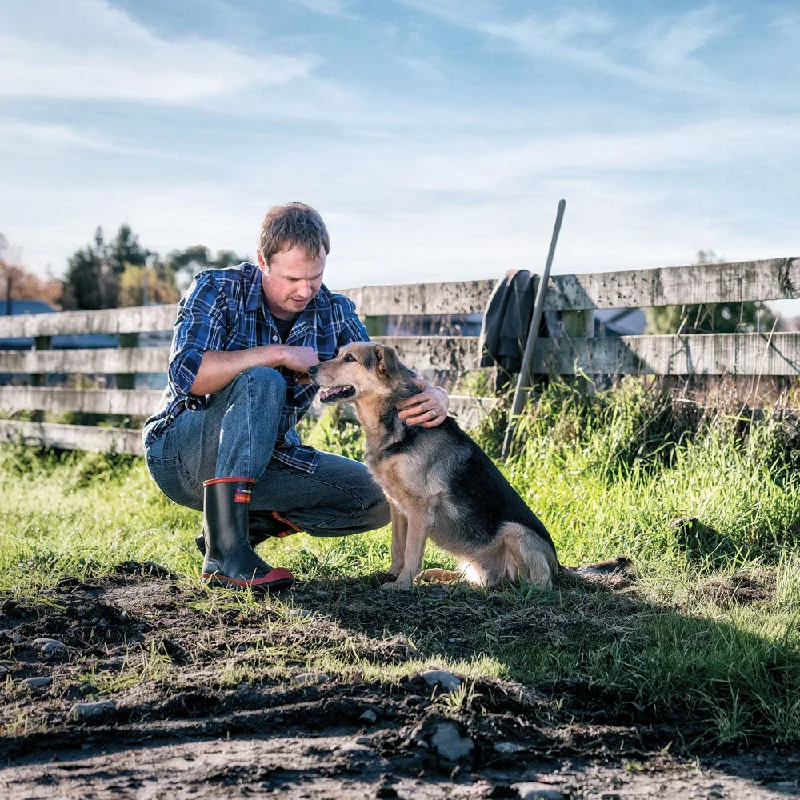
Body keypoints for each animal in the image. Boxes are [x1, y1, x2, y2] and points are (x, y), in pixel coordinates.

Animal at [306, 340, 556, 592]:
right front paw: (392, 574)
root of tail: (558, 568)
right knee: (477, 578)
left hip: (517, 532)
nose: (309, 370)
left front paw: (402, 584)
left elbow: (411, 551)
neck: (395, 420)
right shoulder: (397, 505)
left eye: (350, 359)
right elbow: (398, 547)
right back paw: (440, 576)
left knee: (534, 583)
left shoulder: (420, 506)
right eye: (338, 354)